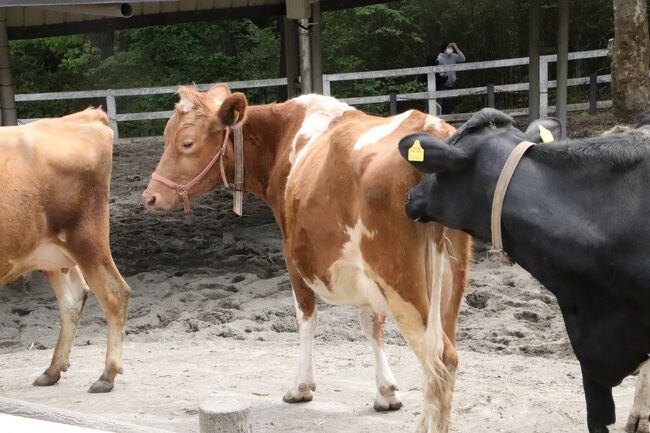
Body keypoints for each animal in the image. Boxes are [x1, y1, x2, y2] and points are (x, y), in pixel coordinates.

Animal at [0, 107, 132, 392]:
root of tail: (84, 117)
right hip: (52, 254)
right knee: (73, 299)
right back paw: (52, 371)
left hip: (87, 242)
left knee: (115, 293)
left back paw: (106, 375)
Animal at [142, 85, 468, 432]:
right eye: (166, 137)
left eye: (187, 142)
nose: (149, 196)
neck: (284, 136)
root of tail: (432, 130)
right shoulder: (363, 271)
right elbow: (371, 323)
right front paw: (386, 392)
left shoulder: (292, 254)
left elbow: (306, 318)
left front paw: (301, 387)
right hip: (449, 284)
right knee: (444, 354)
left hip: (401, 281)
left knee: (439, 358)